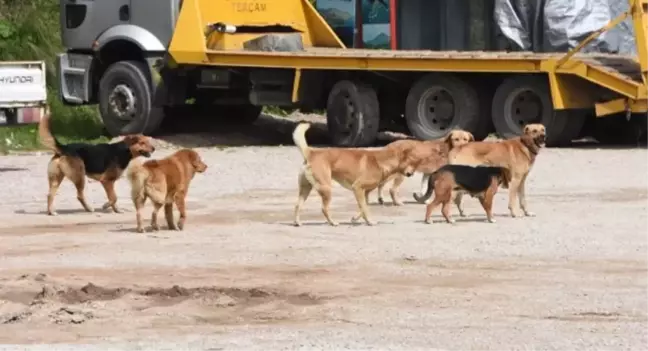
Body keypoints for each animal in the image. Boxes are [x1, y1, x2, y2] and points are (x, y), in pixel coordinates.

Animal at [292, 124, 422, 227]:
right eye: (412, 163)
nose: (411, 174)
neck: (381, 162)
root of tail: (311, 152)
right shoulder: (357, 188)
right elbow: (364, 208)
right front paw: (370, 221)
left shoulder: (364, 193)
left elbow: (363, 208)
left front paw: (356, 218)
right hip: (326, 188)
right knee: (324, 208)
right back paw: (333, 222)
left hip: (305, 189)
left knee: (297, 205)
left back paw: (297, 222)